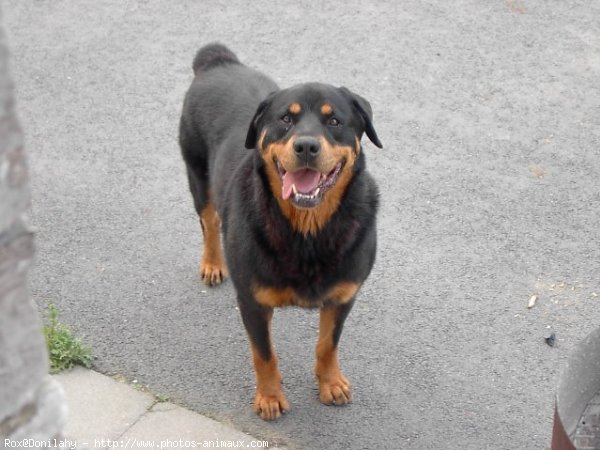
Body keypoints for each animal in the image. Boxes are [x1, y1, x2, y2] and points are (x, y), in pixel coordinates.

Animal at [178, 44, 382, 420]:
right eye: (285, 119)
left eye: (334, 121)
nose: (306, 146)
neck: (307, 231)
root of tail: (218, 62)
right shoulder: (252, 301)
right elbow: (264, 354)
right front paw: (270, 397)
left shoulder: (343, 296)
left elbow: (328, 344)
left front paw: (330, 383)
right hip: (197, 174)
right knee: (209, 222)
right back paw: (213, 263)